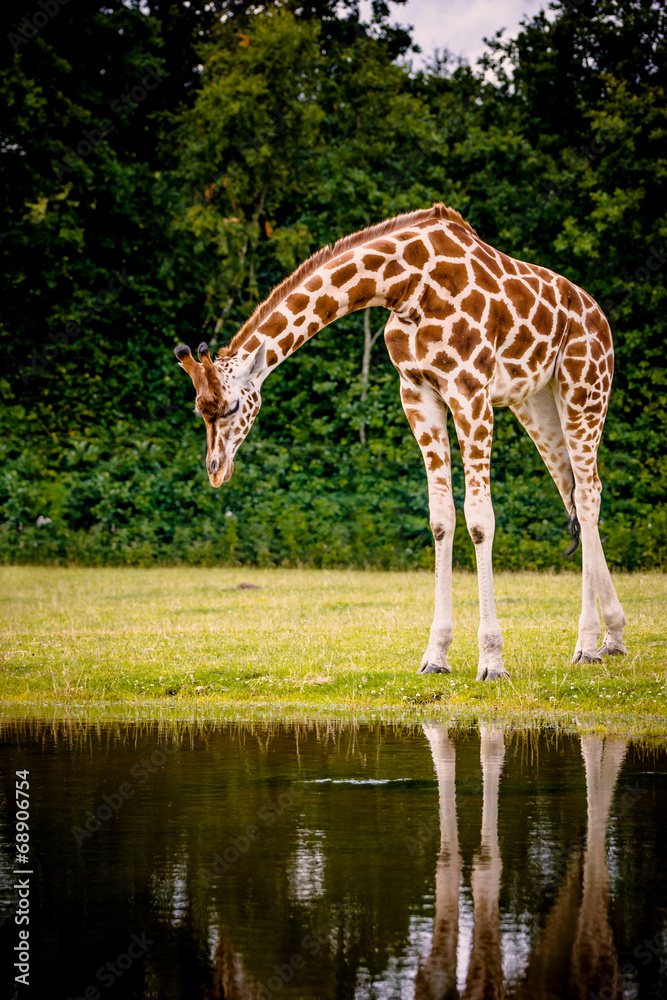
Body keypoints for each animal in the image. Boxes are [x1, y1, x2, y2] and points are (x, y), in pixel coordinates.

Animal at [174, 202, 627, 680]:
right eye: (199, 410)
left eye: (230, 408)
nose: (216, 470)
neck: (403, 284)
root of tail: (597, 314)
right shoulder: (417, 393)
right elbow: (441, 517)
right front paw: (436, 655)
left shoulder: (469, 389)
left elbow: (480, 519)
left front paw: (491, 661)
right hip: (537, 403)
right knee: (575, 493)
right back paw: (609, 639)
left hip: (584, 388)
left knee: (589, 494)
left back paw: (589, 644)